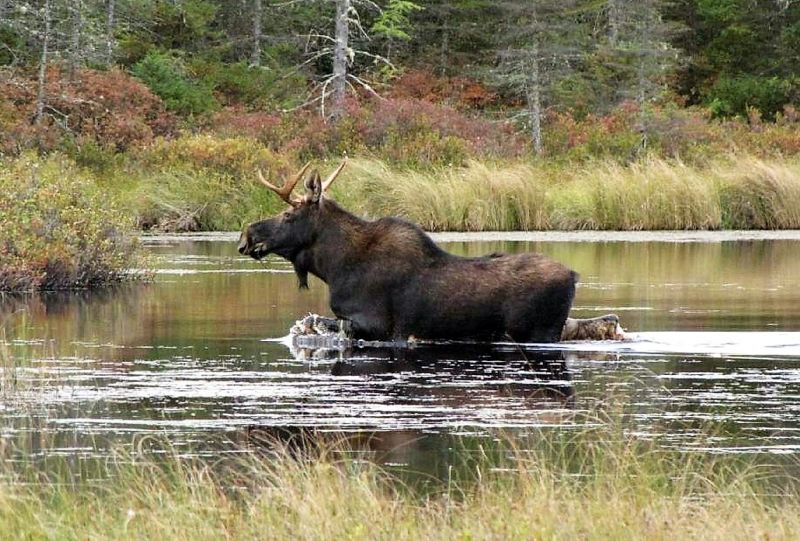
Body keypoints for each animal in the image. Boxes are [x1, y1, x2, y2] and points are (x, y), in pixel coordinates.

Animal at [238, 162, 620, 344]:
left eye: (289, 214)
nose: (247, 235)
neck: (334, 267)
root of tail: (574, 276)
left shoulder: (376, 326)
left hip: (538, 331)